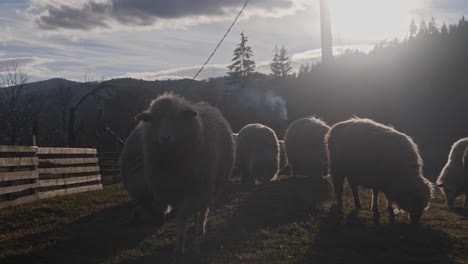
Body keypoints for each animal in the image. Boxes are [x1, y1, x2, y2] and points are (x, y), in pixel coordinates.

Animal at [134, 93, 234, 254]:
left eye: (176, 118)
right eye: (154, 119)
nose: (165, 138)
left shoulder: (192, 188)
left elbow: (182, 216)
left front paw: (180, 247)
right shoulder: (173, 190)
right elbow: (179, 218)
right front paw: (178, 243)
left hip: (207, 183)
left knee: (203, 208)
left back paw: (200, 228)